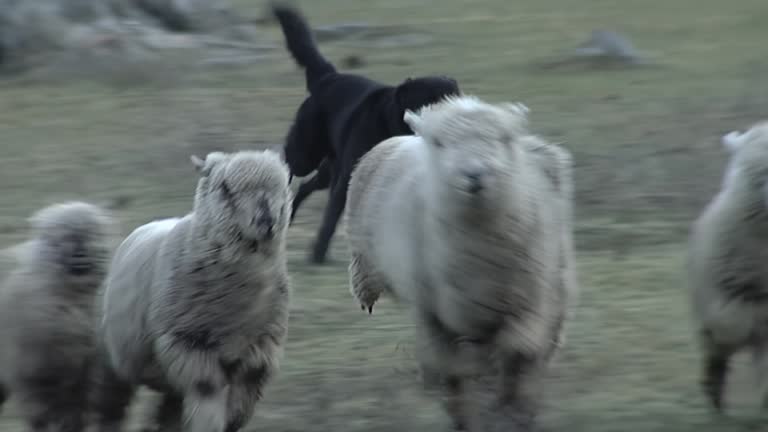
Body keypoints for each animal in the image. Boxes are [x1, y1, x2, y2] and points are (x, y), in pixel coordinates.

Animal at [0, 202, 115, 432]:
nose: (80, 252)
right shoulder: (31, 375)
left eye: (94, 233)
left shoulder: (85, 376)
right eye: (61, 238)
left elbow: (76, 417)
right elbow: (40, 418)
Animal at [91, 150, 294, 432]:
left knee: (169, 410)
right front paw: (211, 423)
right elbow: (207, 391)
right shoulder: (189, 345)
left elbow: (241, 407)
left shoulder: (260, 351)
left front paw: (231, 420)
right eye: (225, 188)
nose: (267, 222)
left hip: (167, 377)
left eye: (282, 186)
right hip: (113, 359)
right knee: (111, 408)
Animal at [272, 3, 460, 264]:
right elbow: (331, 220)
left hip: (330, 168)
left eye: (454, 100)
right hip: (306, 154)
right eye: (427, 102)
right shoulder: (349, 179)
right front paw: (318, 254)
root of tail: (328, 77)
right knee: (287, 167)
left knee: (306, 186)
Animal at [344, 95, 576, 432]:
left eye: (502, 139)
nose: (475, 175)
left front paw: (513, 411)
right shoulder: (433, 314)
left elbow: (518, 355)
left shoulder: (528, 305)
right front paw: (464, 415)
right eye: (440, 143)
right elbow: (453, 371)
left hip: (554, 283)